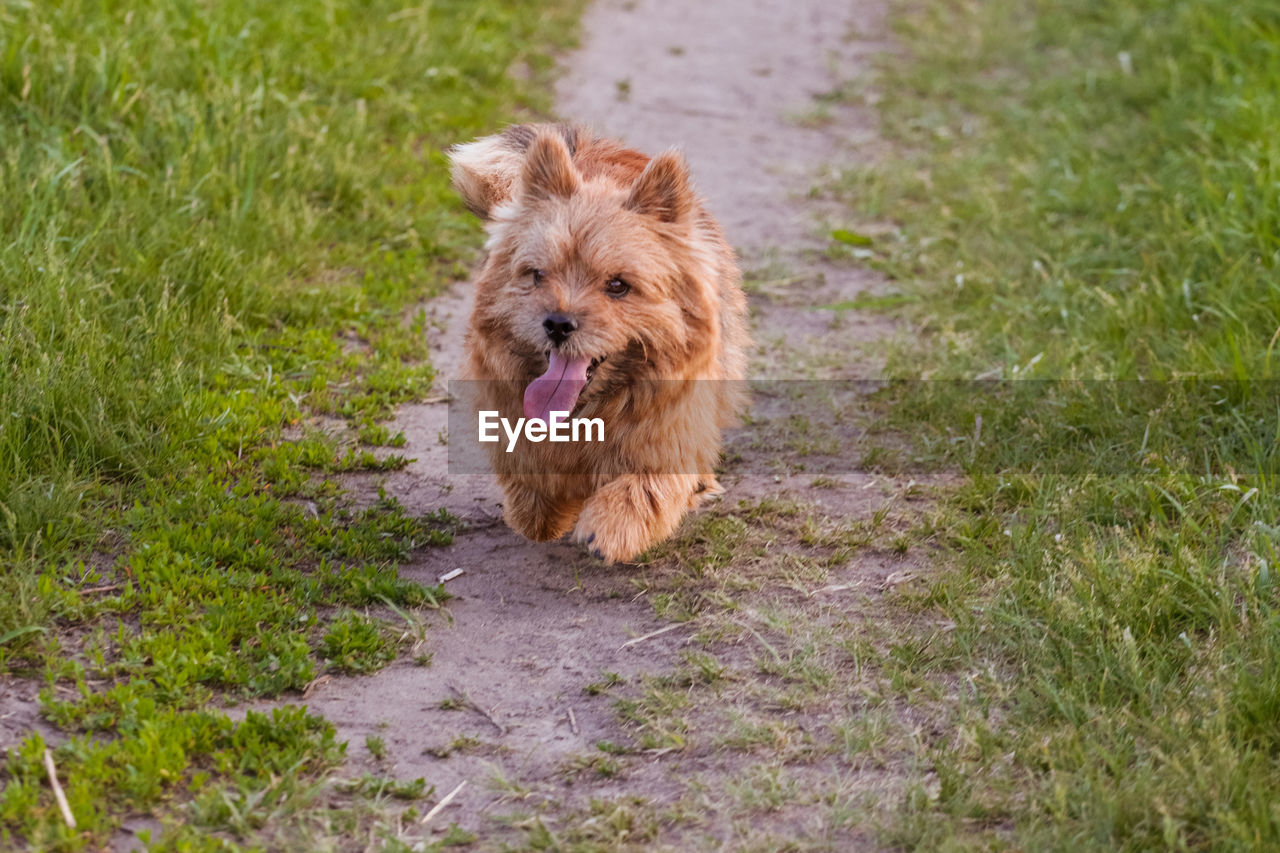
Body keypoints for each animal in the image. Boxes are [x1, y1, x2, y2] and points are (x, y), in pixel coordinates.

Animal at [450, 119, 747, 558]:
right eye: (538, 274)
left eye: (618, 285)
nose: (558, 324)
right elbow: (532, 479)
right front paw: (544, 511)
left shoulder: (667, 422)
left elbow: (645, 484)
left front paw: (610, 525)